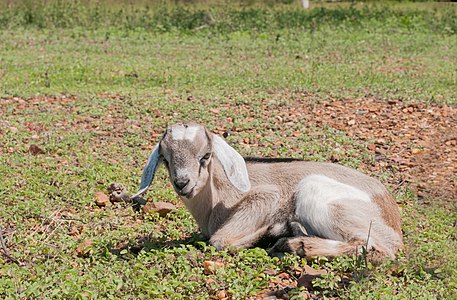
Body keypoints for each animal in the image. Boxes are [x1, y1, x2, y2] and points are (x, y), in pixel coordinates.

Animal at [133, 122, 402, 262]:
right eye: (166, 159)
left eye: (205, 156)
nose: (182, 183)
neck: (216, 200)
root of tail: (390, 216)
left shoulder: (266, 197)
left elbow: (219, 241)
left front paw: (271, 232)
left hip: (319, 195)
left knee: (376, 247)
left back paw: (293, 242)